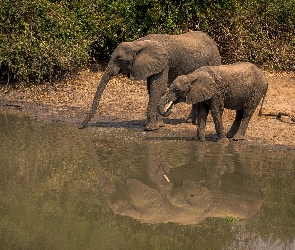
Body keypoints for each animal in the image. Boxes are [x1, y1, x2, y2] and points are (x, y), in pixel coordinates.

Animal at [80, 31, 221, 131]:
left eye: (119, 59)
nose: (80, 127)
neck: (138, 43)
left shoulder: (164, 62)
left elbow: (158, 88)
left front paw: (150, 128)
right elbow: (152, 88)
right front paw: (159, 125)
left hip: (214, 61)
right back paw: (190, 121)